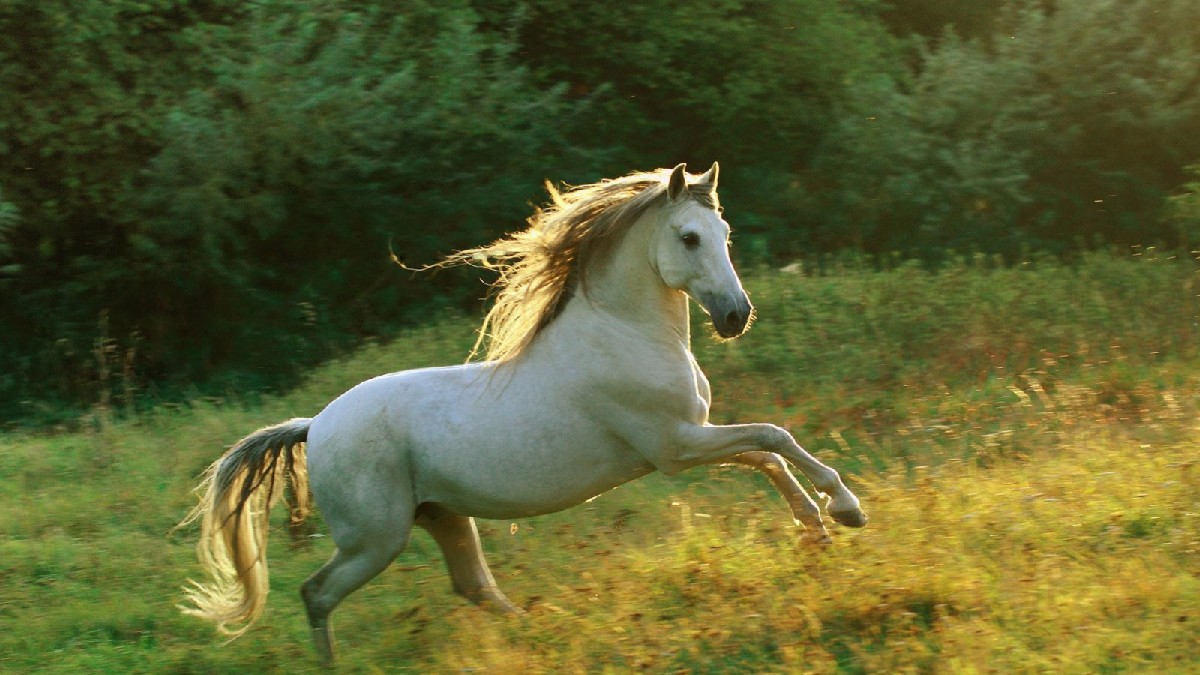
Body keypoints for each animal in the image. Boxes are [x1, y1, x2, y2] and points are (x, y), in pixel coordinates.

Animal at [179, 162, 867, 665]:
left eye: (724, 236)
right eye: (689, 237)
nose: (735, 316)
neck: (624, 334)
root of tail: (314, 426)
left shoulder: (689, 440)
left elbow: (767, 455)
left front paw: (817, 529)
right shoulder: (675, 447)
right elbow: (774, 438)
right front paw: (845, 509)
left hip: (441, 517)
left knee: (473, 587)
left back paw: (544, 631)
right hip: (375, 539)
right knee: (317, 593)